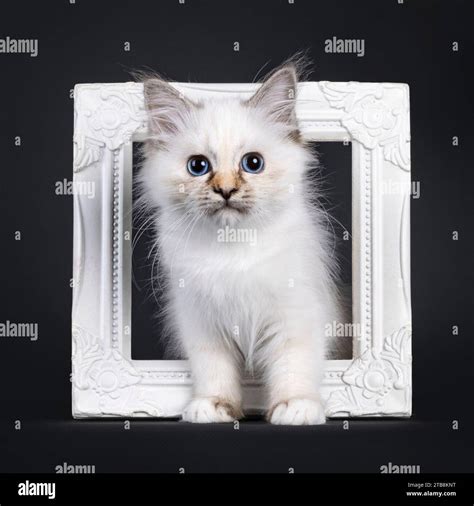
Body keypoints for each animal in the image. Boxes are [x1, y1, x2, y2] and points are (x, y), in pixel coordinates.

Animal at [139, 64, 346, 426]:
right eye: (198, 166)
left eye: (252, 163)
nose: (225, 190)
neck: (232, 249)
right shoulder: (202, 322)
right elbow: (213, 370)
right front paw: (213, 406)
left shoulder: (295, 316)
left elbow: (294, 367)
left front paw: (296, 407)